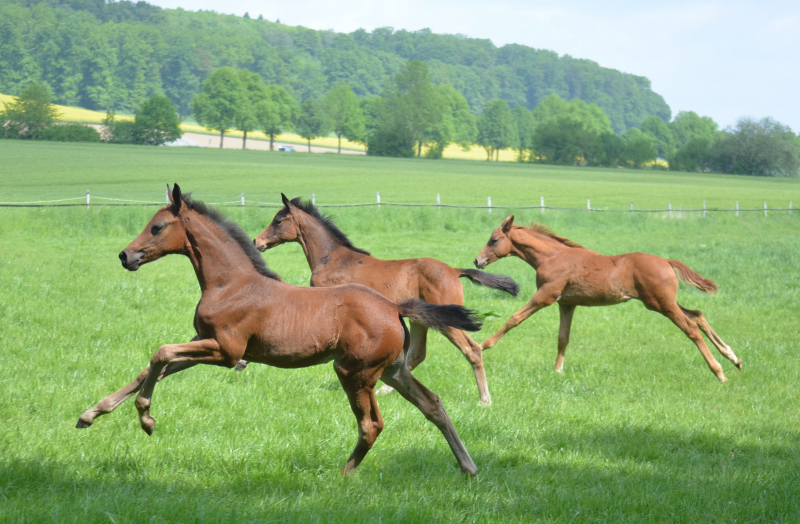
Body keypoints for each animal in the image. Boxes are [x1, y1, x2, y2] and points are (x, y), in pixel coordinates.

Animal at [76, 184, 482, 474]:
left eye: (157, 227)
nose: (126, 255)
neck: (229, 283)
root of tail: (395, 307)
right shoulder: (203, 341)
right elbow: (151, 368)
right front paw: (91, 414)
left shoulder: (226, 351)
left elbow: (160, 353)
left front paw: (145, 418)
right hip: (392, 370)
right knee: (433, 404)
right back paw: (468, 467)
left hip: (353, 372)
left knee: (371, 425)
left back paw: (341, 477)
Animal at [250, 195, 520, 406]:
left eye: (278, 220)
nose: (256, 241)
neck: (333, 259)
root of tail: (454, 270)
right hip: (420, 320)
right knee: (417, 354)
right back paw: (386, 388)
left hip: (446, 321)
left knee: (471, 349)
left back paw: (485, 400)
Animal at [476, 215, 744, 382]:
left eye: (494, 239)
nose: (477, 261)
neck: (553, 257)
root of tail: (667, 262)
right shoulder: (567, 303)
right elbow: (563, 338)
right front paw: (558, 371)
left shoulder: (546, 296)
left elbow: (514, 319)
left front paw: (481, 346)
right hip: (663, 302)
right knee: (698, 316)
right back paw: (734, 358)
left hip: (661, 304)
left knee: (691, 327)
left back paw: (719, 372)